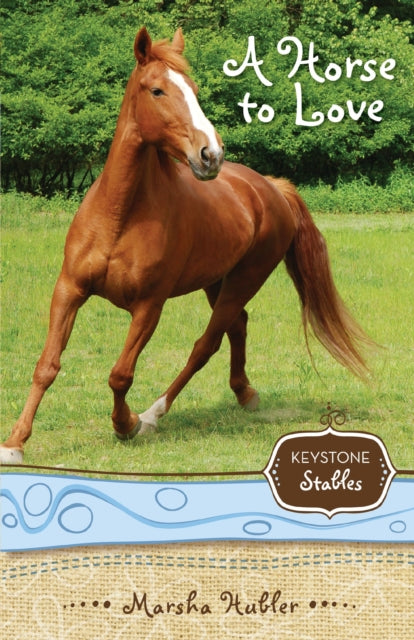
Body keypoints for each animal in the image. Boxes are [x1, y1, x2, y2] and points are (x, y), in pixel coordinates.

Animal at [0, 27, 374, 464]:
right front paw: (15, 442)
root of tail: (270, 188)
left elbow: (120, 373)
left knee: (205, 345)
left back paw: (154, 414)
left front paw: (126, 424)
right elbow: (47, 365)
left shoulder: (149, 306)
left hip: (245, 279)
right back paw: (244, 393)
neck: (120, 215)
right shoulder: (69, 290)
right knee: (237, 326)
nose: (210, 155)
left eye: (194, 90)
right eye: (157, 90)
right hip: (217, 282)